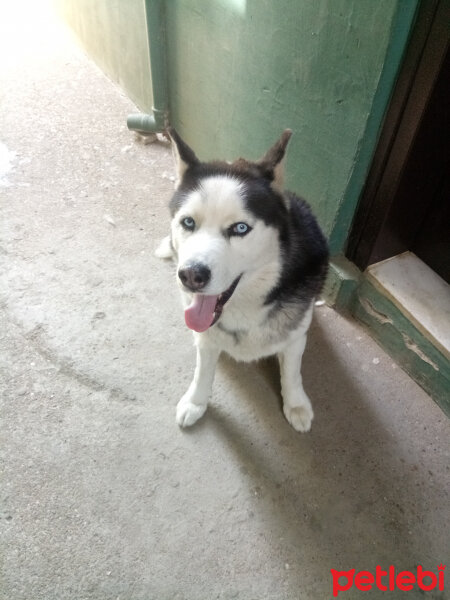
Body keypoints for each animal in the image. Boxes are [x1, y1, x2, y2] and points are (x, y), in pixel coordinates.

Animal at [156, 129, 328, 434]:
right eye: (188, 222)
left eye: (240, 228)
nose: (191, 275)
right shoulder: (207, 337)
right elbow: (203, 370)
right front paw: (196, 402)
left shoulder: (295, 336)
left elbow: (292, 372)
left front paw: (295, 404)